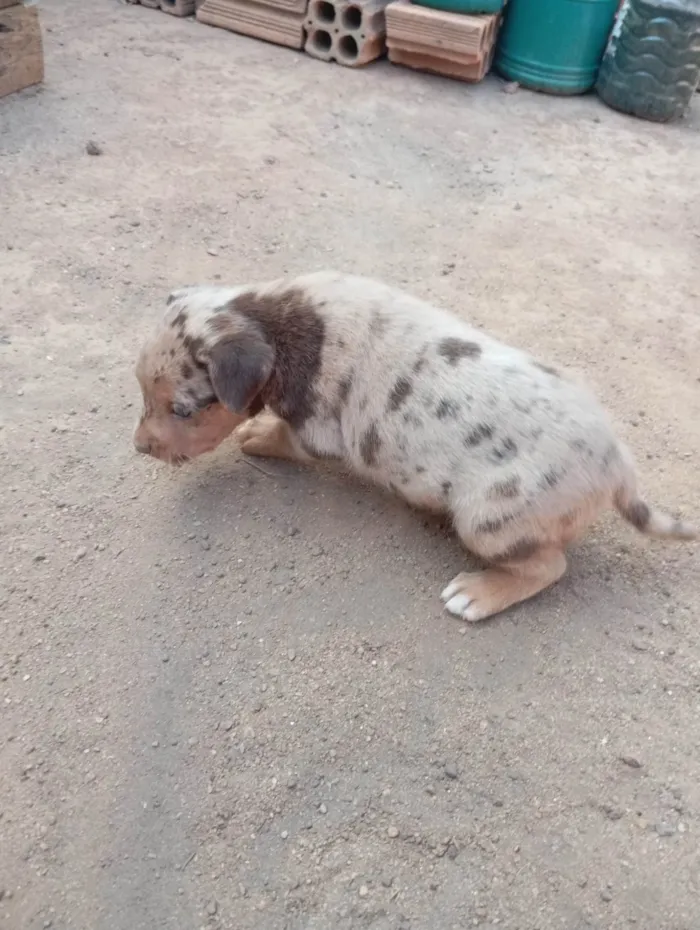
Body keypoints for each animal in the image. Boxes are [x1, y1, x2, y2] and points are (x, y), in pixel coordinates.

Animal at [133, 270, 696, 616]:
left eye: (182, 410)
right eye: (140, 389)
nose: (139, 446)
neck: (277, 321)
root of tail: (619, 466)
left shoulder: (318, 433)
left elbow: (282, 437)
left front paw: (253, 436)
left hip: (489, 517)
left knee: (549, 566)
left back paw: (475, 595)